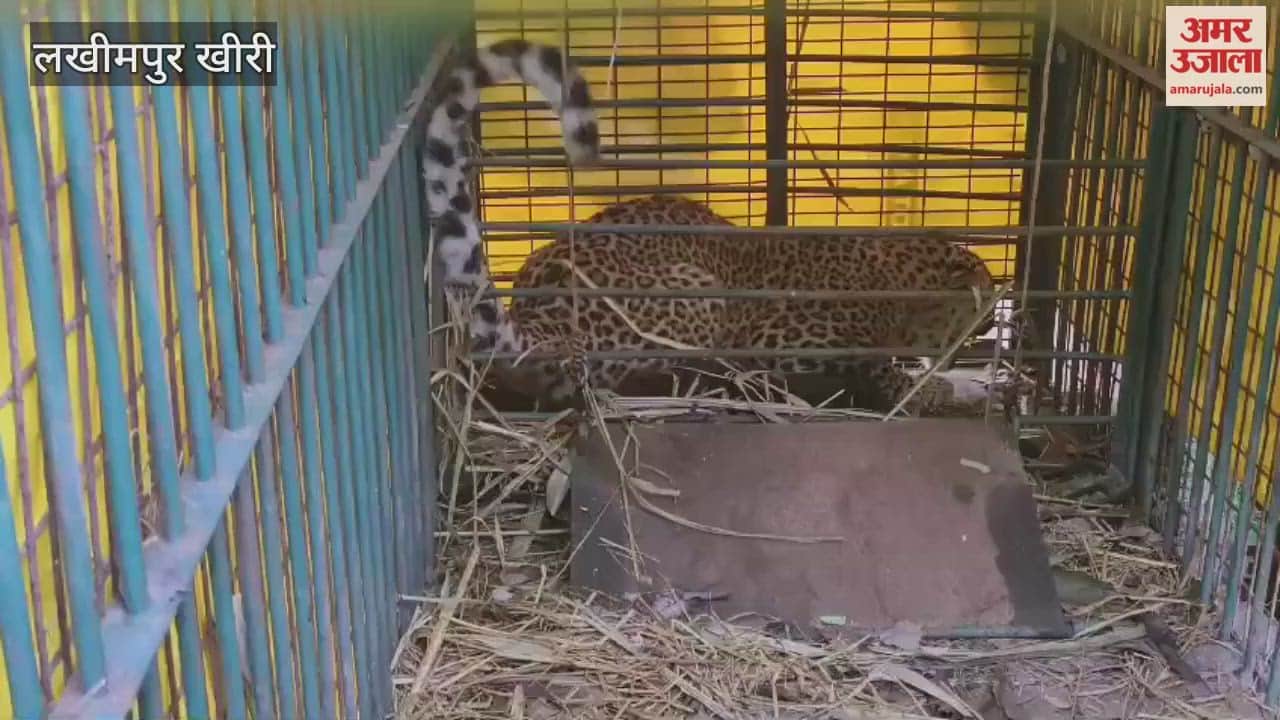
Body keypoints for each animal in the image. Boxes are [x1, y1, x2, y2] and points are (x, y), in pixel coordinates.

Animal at [422, 37, 997, 415]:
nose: (992, 322)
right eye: (983, 306)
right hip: (698, 297)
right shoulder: (782, 341)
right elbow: (885, 374)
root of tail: (542, 325)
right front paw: (953, 389)